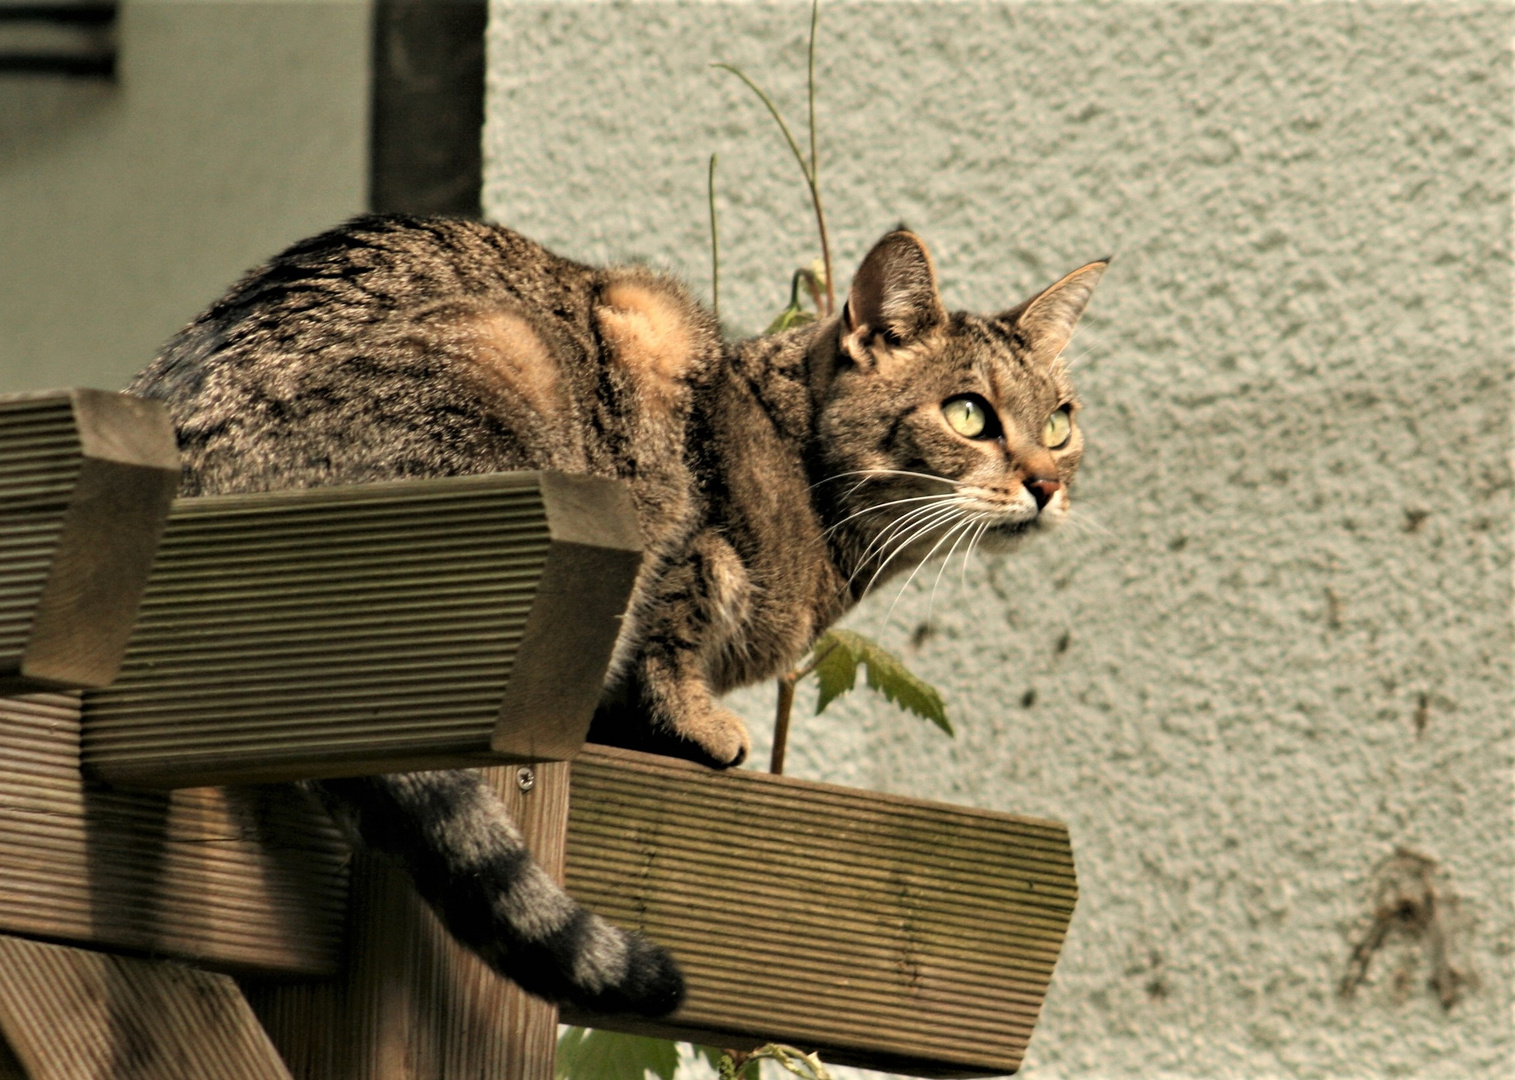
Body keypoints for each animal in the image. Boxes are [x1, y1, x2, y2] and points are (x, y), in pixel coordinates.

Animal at [127, 216, 1102, 1011]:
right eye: (968, 414)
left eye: (1058, 425)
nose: (1045, 484)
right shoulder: (681, 504)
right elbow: (676, 626)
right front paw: (697, 722)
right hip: (502, 384)